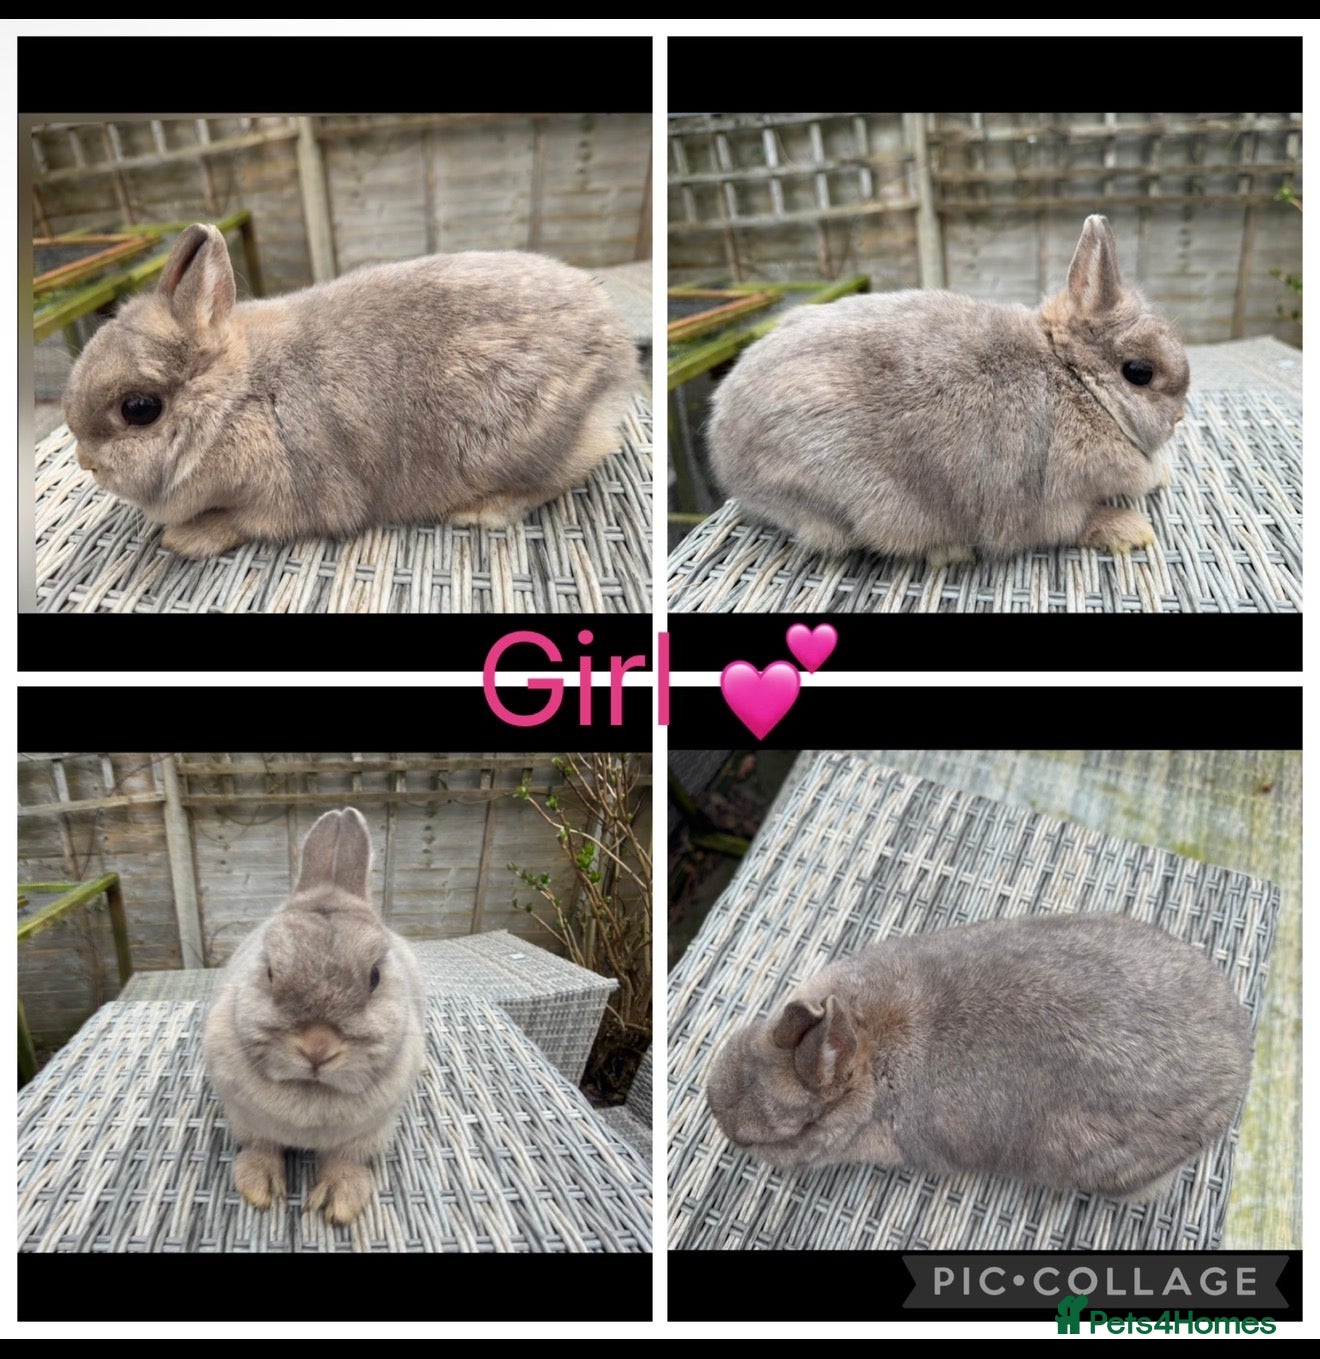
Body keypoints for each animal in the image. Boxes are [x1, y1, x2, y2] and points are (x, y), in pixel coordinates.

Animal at [62, 223, 639, 557]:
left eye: (139, 409)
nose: (84, 461)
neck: (237, 400)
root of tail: (618, 349)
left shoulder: (287, 497)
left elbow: (240, 523)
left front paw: (183, 539)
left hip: (517, 440)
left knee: (566, 471)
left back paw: (478, 510)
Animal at [202, 807, 426, 1225]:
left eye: (375, 977)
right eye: (270, 972)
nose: (318, 1049)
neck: (312, 1089)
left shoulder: (365, 1135)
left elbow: (344, 1161)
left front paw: (340, 1202)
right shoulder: (247, 1120)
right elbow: (261, 1148)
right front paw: (259, 1188)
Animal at [706, 215, 1190, 567]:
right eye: (1140, 372)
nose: (1180, 418)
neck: (1074, 378)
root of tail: (725, 456)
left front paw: (1161, 474)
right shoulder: (1056, 500)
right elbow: (1078, 523)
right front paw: (1132, 530)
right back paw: (949, 551)